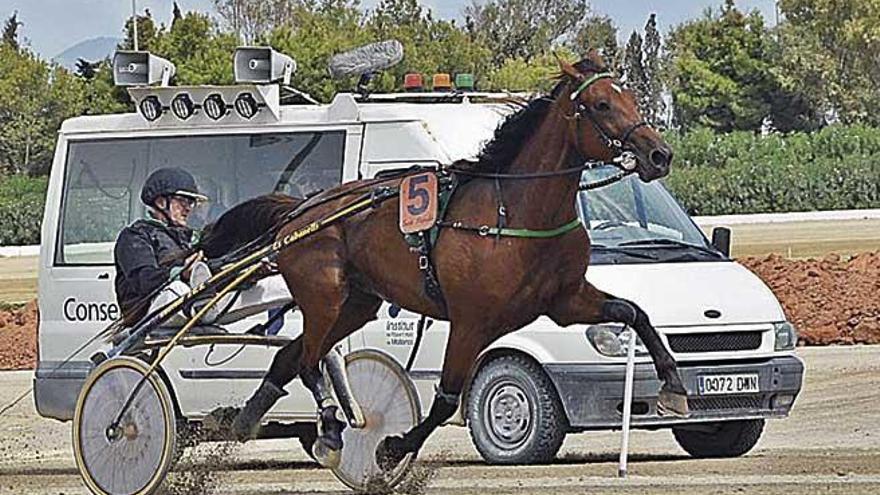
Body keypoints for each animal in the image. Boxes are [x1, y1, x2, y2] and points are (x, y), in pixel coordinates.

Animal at [217, 53, 684, 472]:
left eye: (633, 99)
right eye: (602, 104)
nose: (660, 155)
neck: (517, 213)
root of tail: (301, 210)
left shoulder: (565, 302)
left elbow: (635, 313)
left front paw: (674, 387)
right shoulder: (471, 322)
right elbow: (445, 399)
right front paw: (393, 448)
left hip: (355, 304)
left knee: (290, 356)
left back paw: (245, 420)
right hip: (323, 296)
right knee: (310, 362)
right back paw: (330, 432)